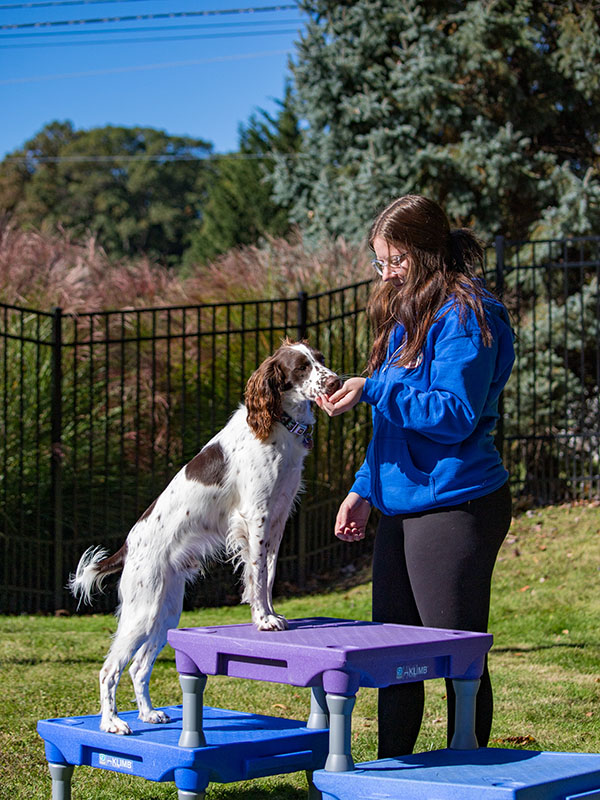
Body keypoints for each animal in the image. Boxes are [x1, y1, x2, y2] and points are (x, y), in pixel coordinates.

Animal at [69, 340, 342, 736]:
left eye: (320, 360)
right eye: (302, 367)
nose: (336, 382)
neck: (277, 423)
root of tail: (128, 546)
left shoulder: (277, 519)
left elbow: (268, 575)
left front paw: (272, 614)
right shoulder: (256, 516)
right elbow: (257, 574)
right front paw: (263, 620)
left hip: (165, 613)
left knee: (138, 667)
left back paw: (148, 714)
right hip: (142, 611)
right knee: (109, 670)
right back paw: (112, 723)